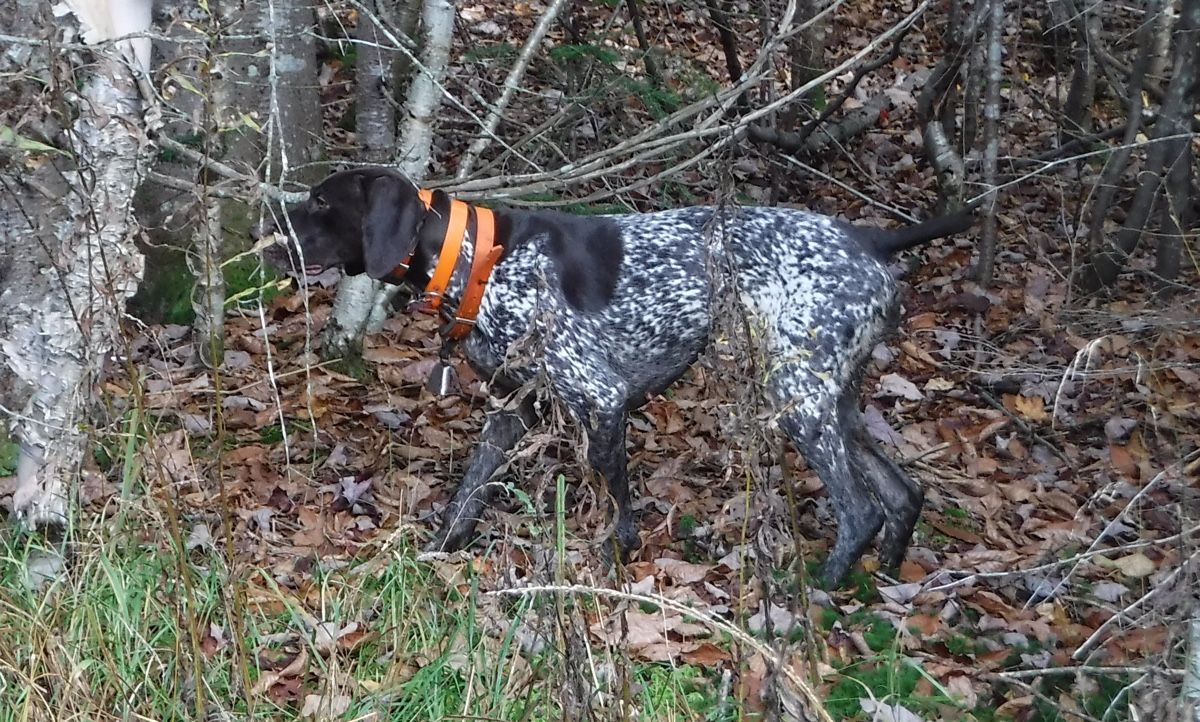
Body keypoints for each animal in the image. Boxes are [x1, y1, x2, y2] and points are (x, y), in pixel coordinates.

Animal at [265, 164, 974, 585]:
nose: (269, 235)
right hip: (833, 400)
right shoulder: (512, 409)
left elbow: (616, 503)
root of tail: (869, 241)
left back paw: (815, 605)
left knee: (860, 511)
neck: (479, 259)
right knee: (902, 495)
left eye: (320, 201)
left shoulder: (601, 400)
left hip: (798, 397)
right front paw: (439, 553)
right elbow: (470, 491)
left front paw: (614, 562)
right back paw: (881, 586)